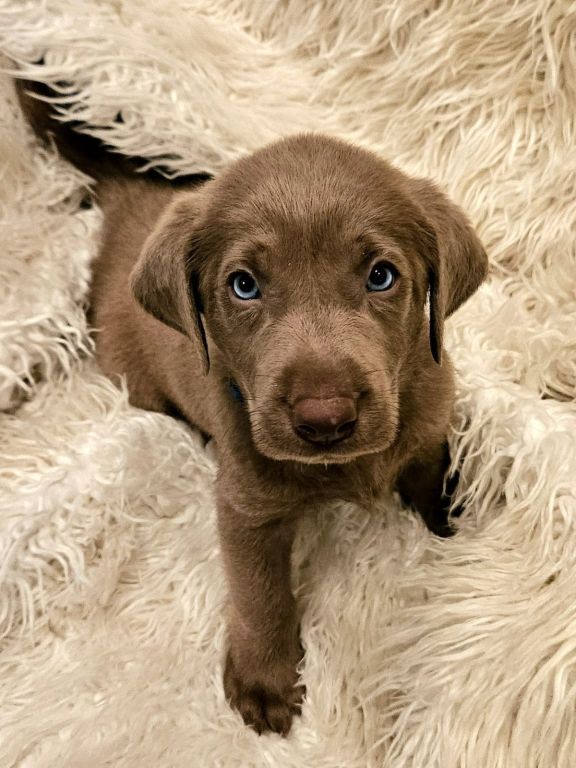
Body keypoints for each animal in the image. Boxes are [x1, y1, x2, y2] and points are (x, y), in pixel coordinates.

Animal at [16, 78, 486, 736]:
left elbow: (434, 484)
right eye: (244, 286)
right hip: (135, 377)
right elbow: (262, 594)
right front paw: (265, 680)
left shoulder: (427, 432)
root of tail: (128, 193)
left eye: (381, 276)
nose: (325, 418)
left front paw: (457, 537)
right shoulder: (246, 507)